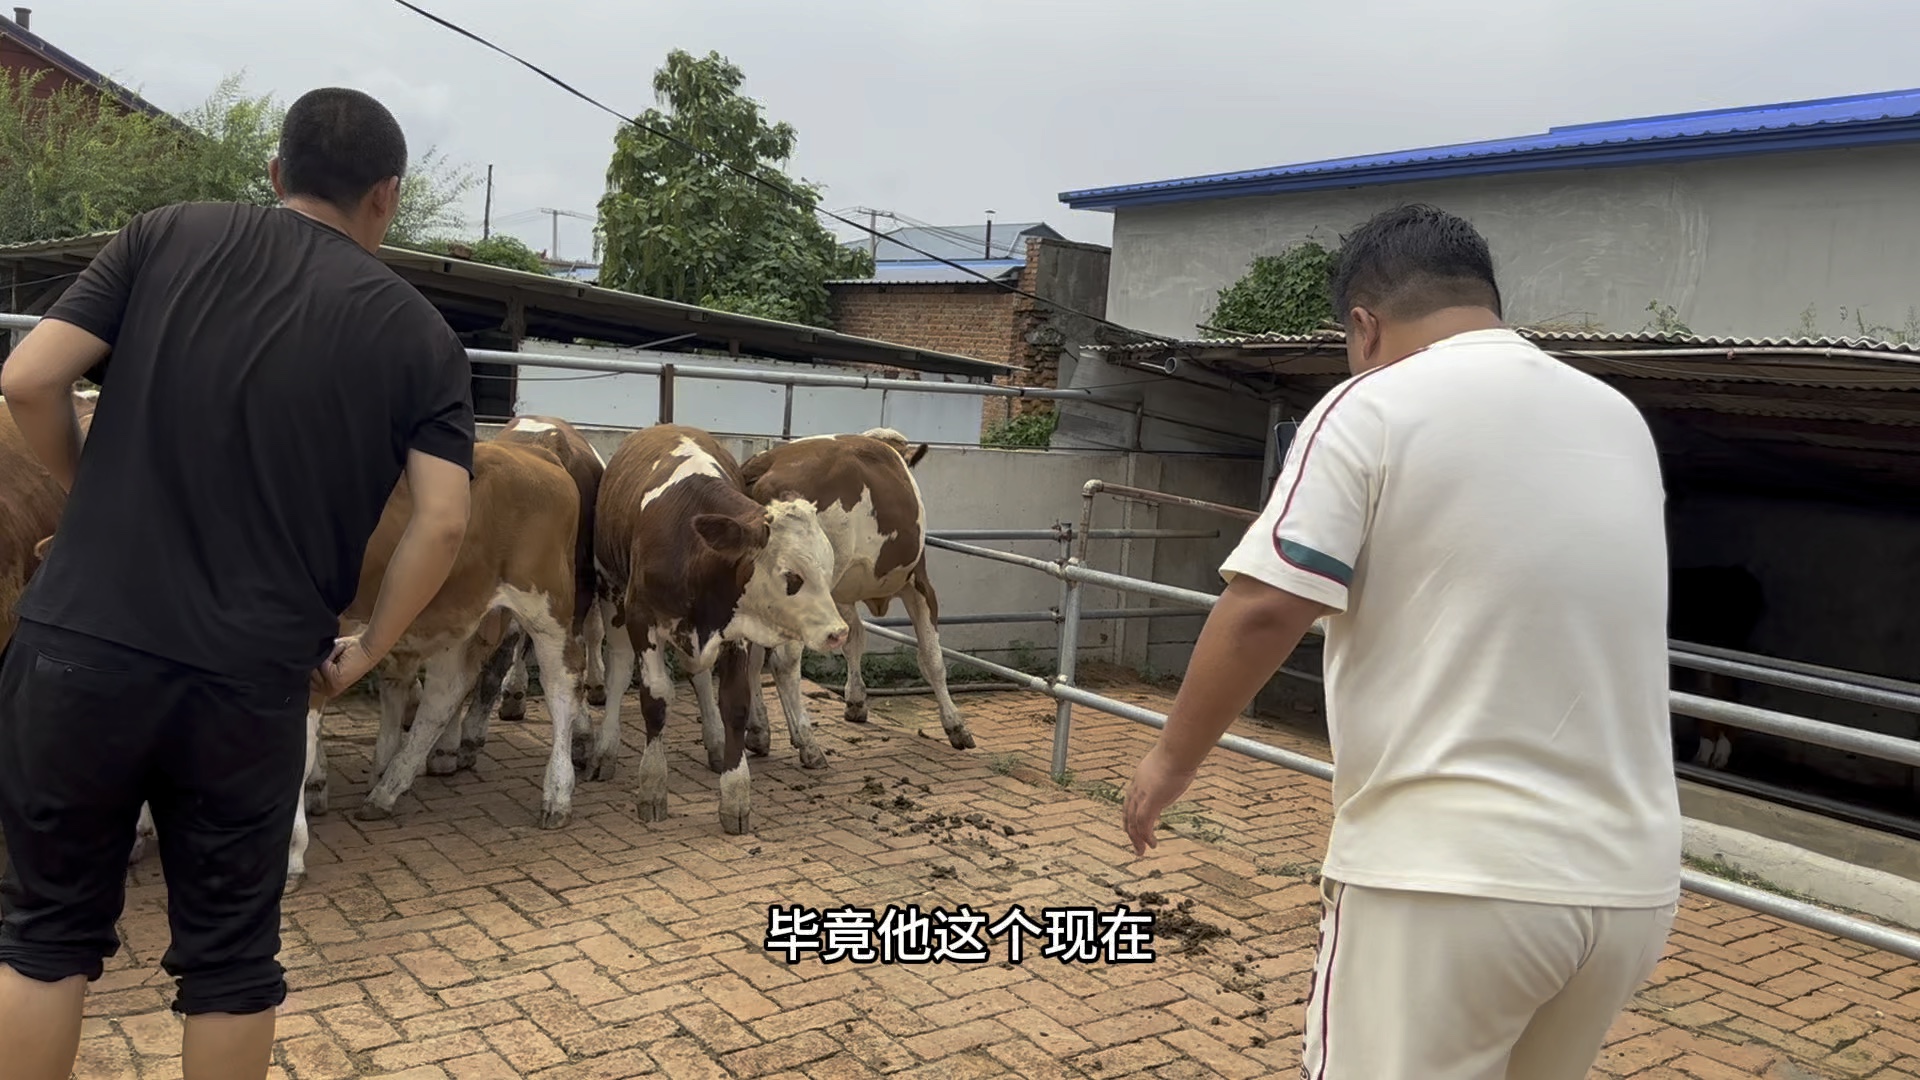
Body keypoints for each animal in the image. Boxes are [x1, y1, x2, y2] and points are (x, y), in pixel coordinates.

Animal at [595, 422, 844, 834]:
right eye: (792, 577)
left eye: (828, 571)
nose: (838, 632)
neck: (693, 550)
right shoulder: (641, 618)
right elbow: (655, 700)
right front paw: (652, 787)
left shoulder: (733, 629)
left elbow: (735, 705)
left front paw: (735, 795)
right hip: (610, 590)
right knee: (617, 670)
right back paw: (605, 749)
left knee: (697, 675)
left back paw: (712, 742)